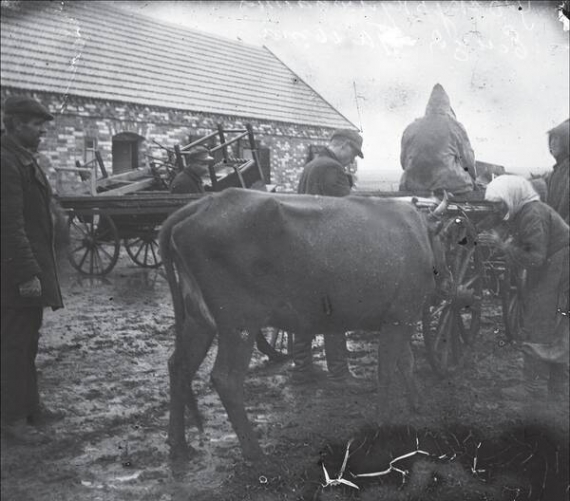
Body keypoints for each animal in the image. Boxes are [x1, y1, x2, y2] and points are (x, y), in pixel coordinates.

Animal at [156, 188, 448, 460]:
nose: (447, 288)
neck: (421, 235)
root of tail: (206, 202)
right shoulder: (399, 316)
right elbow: (387, 370)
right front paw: (384, 421)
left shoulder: (401, 318)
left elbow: (406, 362)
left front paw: (418, 404)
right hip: (239, 323)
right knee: (226, 378)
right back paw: (255, 453)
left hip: (199, 319)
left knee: (179, 366)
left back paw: (178, 443)